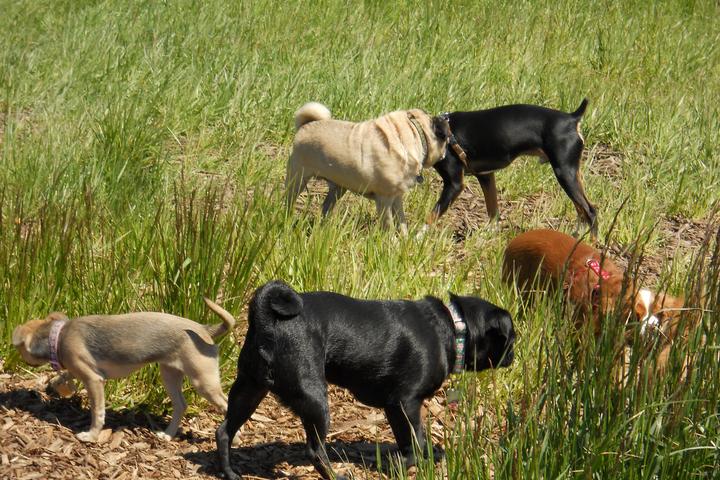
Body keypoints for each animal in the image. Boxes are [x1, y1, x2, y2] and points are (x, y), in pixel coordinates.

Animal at [11, 300, 235, 442]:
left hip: (203, 382)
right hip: (170, 375)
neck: (57, 337)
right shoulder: (82, 369)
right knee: (181, 405)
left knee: (225, 404)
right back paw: (168, 435)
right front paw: (61, 387)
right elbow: (63, 377)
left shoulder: (93, 379)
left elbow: (97, 411)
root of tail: (205, 329)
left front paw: (91, 436)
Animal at [217, 282, 516, 480]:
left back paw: (230, 472)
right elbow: (416, 438)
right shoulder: (406, 403)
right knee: (315, 450)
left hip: (249, 390)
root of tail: (268, 320)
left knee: (225, 431)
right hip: (314, 398)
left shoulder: (394, 408)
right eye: (511, 340)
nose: (514, 355)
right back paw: (337, 476)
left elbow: (408, 439)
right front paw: (404, 464)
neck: (456, 328)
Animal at [286, 102, 450, 234]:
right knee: (289, 199)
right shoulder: (384, 200)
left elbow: (401, 220)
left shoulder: (397, 197)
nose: (445, 118)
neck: (415, 130)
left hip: (338, 189)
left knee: (326, 207)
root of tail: (306, 125)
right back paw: (286, 218)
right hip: (298, 178)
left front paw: (404, 239)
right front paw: (392, 244)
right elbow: (389, 225)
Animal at [424, 101, 592, 234]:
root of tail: (572, 118)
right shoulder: (486, 176)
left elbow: (432, 215)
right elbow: (493, 210)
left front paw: (419, 237)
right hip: (571, 173)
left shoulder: (455, 185)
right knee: (582, 211)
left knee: (590, 211)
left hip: (564, 173)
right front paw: (488, 234)